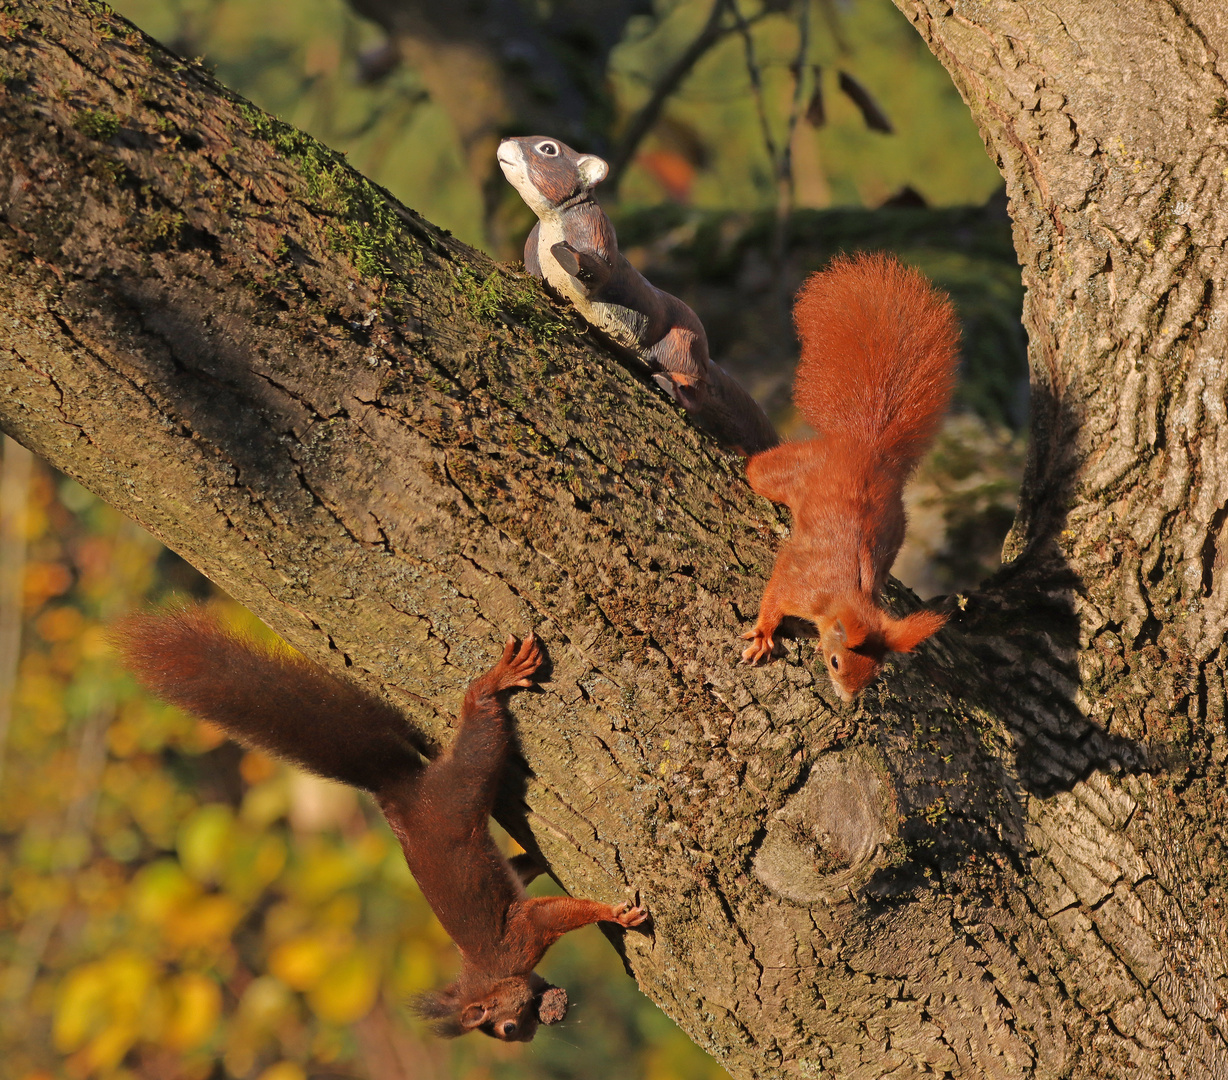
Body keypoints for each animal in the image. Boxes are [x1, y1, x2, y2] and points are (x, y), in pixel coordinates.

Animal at [118, 609, 648, 1036]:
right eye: (511, 1029)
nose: (548, 1021)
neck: (488, 975)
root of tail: (399, 792)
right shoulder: (518, 938)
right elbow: (535, 895)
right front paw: (595, 902)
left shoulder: (517, 940)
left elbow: (550, 913)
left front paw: (611, 914)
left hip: (460, 787)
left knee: (479, 728)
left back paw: (493, 682)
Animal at [491, 136, 771, 457]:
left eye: (548, 149)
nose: (506, 140)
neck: (550, 226)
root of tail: (706, 359)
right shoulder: (533, 247)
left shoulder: (595, 231)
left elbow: (597, 272)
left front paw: (567, 255)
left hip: (681, 345)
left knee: (696, 391)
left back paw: (670, 385)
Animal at [736, 253, 957, 702]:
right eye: (837, 662)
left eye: (875, 674)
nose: (850, 699)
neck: (843, 596)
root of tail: (865, 448)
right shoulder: (798, 582)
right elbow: (773, 596)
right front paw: (765, 633)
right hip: (790, 470)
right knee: (758, 470)